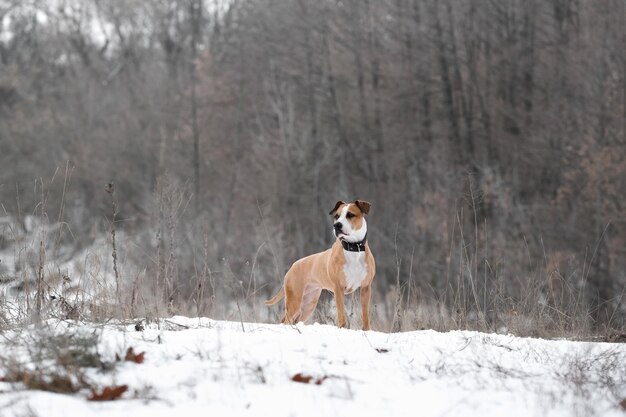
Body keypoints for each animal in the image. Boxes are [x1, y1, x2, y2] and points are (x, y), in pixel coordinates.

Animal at [264, 200, 372, 330]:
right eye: (336, 216)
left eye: (350, 215)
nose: (337, 225)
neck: (353, 247)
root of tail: (292, 267)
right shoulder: (339, 289)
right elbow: (341, 315)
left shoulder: (366, 288)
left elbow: (365, 316)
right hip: (295, 299)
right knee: (286, 320)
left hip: (308, 303)